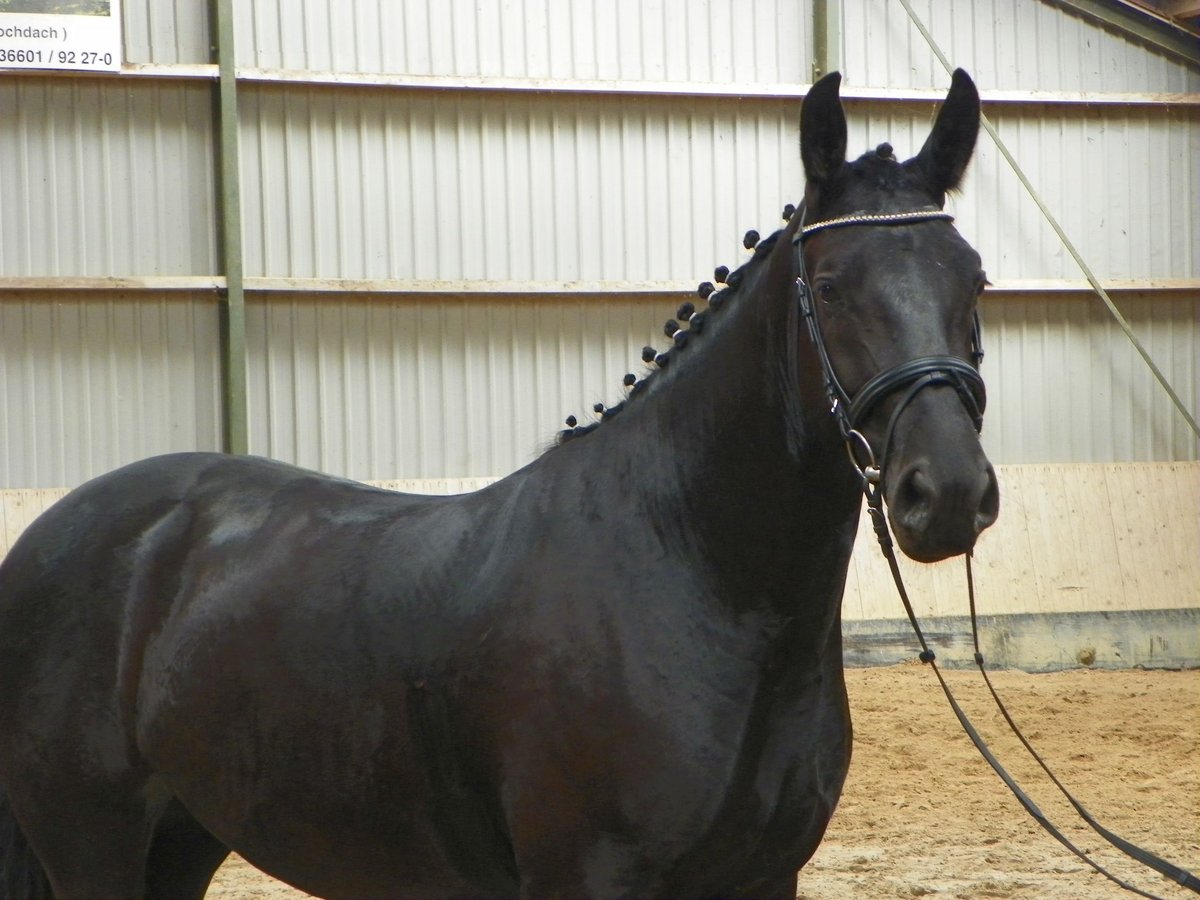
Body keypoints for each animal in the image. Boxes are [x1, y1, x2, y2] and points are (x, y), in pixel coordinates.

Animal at [0, 72, 993, 900]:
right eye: (829, 286)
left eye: (975, 280)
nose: (945, 493)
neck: (693, 578)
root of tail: (54, 535)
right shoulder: (586, 877)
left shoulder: (763, 879)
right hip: (93, 844)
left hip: (184, 836)